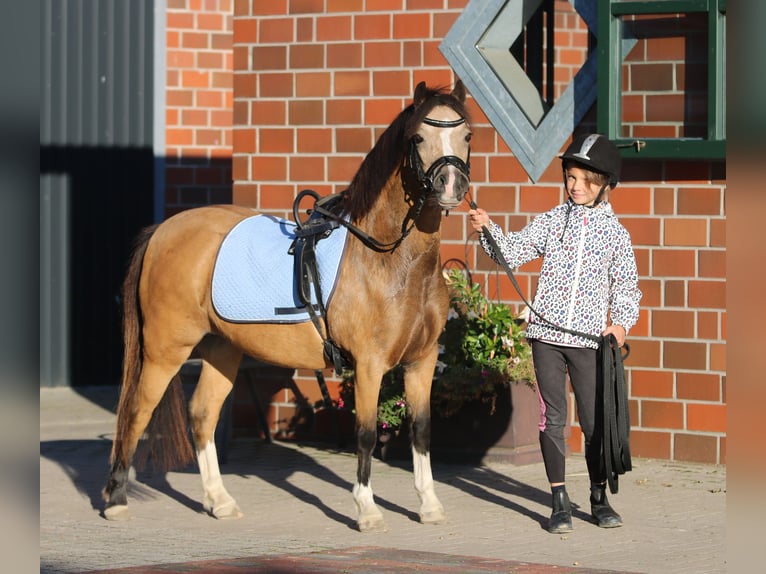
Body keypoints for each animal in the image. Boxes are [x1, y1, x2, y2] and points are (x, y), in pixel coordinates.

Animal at [102, 81, 474, 536]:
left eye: (467, 135)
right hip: (164, 351)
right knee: (136, 411)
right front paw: (367, 511)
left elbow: (421, 430)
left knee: (202, 414)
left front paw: (430, 506)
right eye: (418, 138)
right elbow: (366, 434)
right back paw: (116, 500)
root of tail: (162, 231)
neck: (389, 260)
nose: (451, 185)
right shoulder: (369, 366)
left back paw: (220, 502)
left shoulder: (422, 362)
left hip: (222, 350)